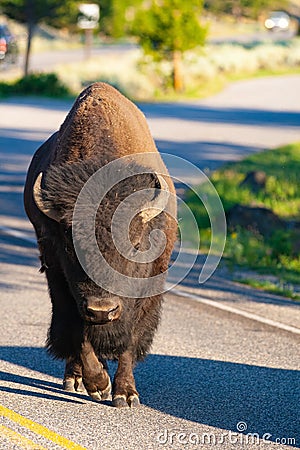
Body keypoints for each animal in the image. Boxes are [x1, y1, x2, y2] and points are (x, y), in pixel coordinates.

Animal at [25, 81, 178, 408]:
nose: (101, 310)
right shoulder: (60, 277)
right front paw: (98, 384)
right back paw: (75, 379)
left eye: (135, 243)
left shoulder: (144, 290)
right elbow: (78, 333)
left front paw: (125, 395)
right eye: (69, 246)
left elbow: (130, 336)